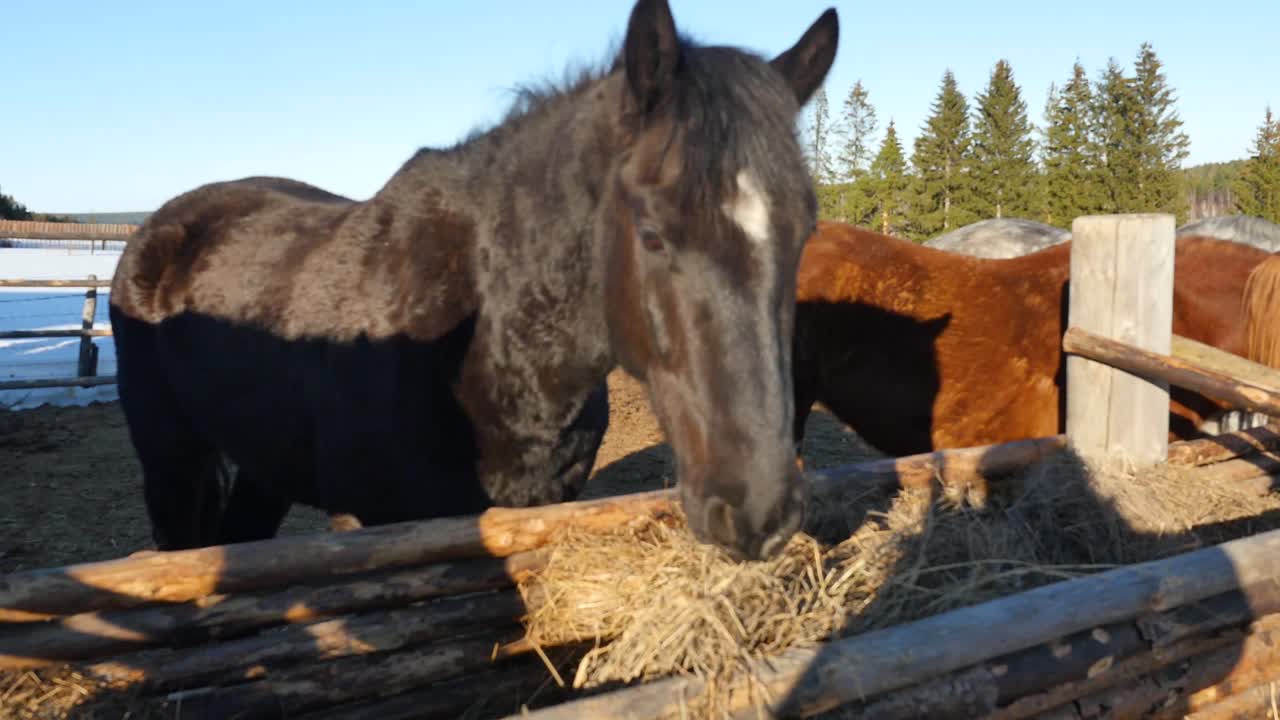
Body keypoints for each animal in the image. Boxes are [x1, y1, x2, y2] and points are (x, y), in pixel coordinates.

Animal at [108, 0, 840, 562]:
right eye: (654, 232)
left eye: (805, 231)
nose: (760, 511)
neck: (487, 351)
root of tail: (158, 227)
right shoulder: (370, 523)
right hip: (170, 457)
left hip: (265, 464)